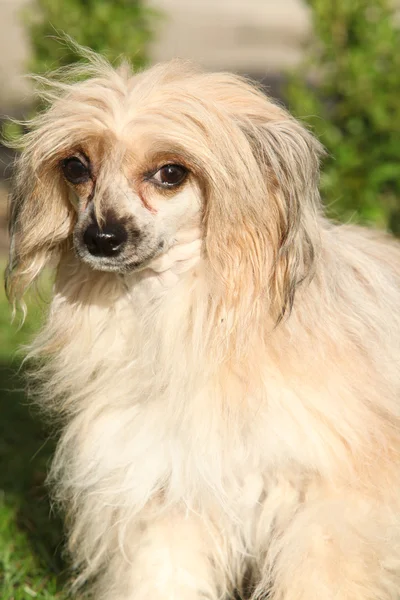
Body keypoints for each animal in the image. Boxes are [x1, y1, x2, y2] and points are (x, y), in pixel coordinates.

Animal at [5, 52, 400, 600]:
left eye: (171, 173)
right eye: (76, 167)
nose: (101, 238)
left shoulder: (332, 505)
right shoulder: (167, 487)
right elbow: (164, 573)